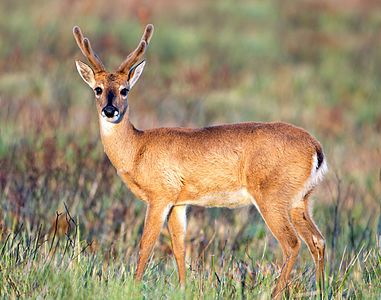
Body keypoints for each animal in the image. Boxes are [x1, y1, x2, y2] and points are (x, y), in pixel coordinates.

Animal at [73, 23, 326, 298]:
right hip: (301, 200)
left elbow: (145, 245)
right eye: (98, 89)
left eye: (124, 90)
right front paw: (183, 288)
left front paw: (134, 287)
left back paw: (274, 293)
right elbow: (179, 247)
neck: (137, 149)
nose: (110, 111)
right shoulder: (179, 202)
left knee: (292, 243)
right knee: (318, 240)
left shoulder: (160, 195)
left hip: (272, 196)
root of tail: (315, 148)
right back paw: (322, 290)